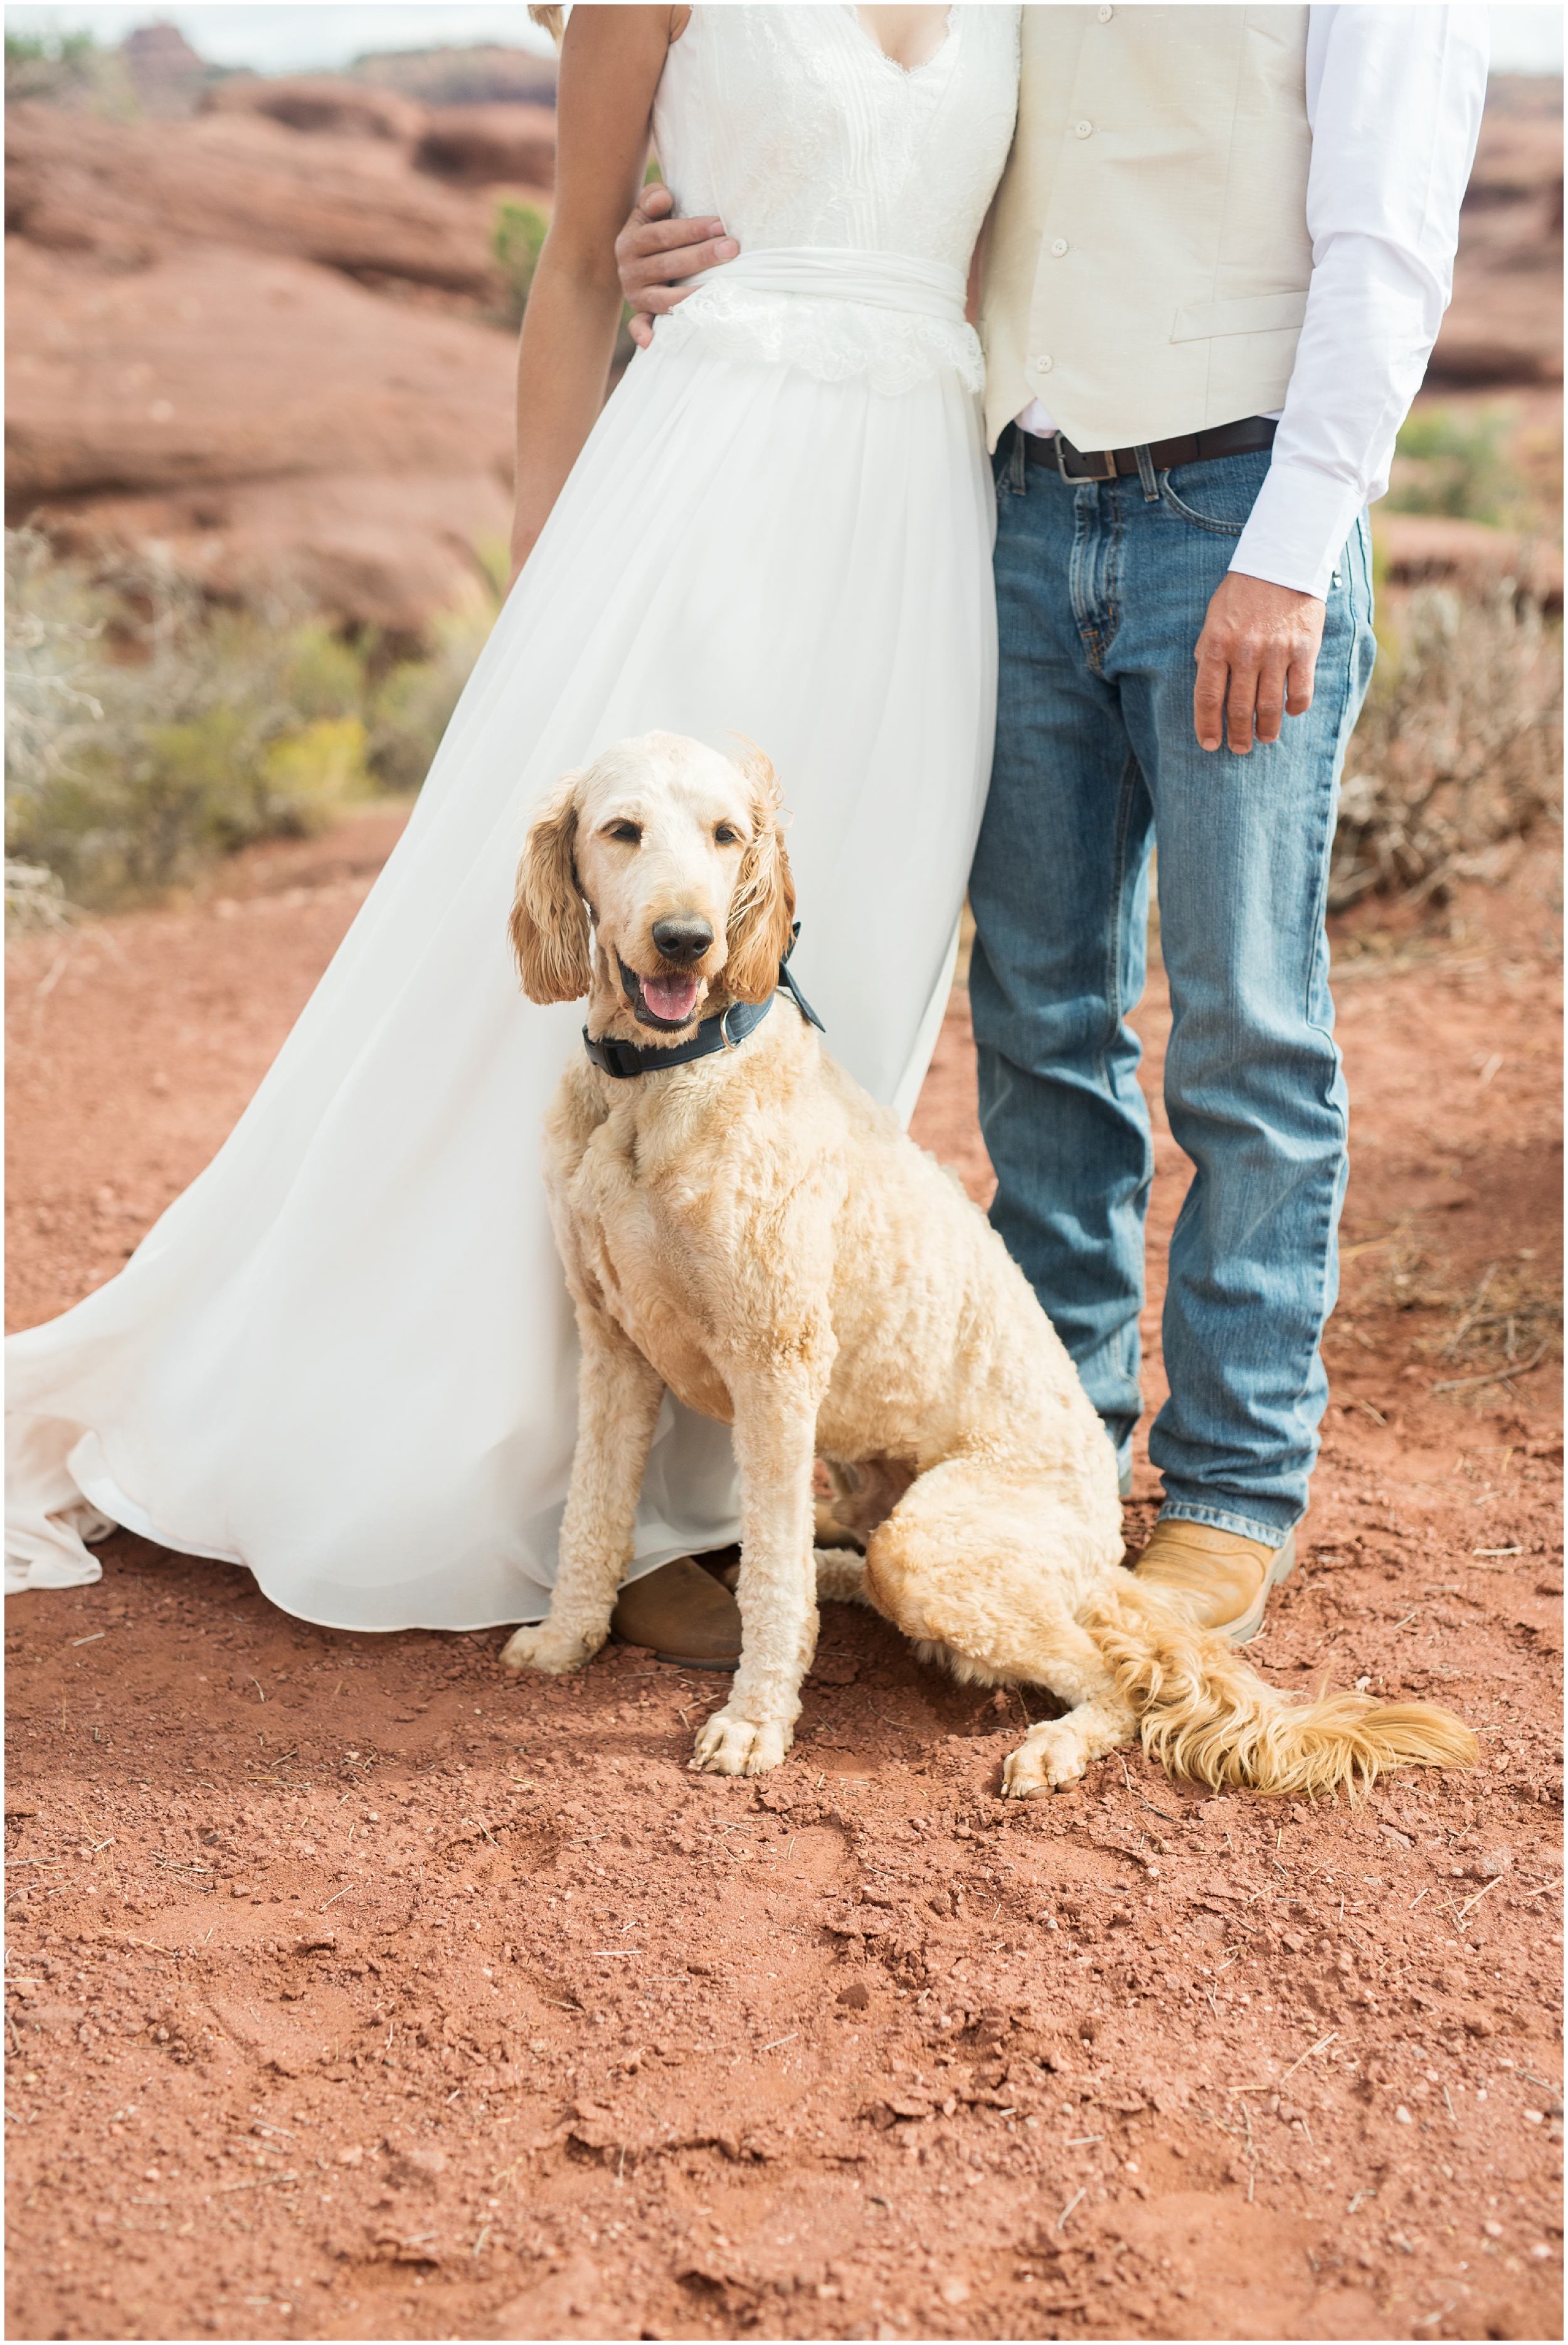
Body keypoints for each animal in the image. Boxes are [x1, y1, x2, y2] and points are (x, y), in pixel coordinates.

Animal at [499, 731, 1471, 1791]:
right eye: (622, 830)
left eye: (725, 835)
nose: (686, 939)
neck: (661, 1081)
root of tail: (1103, 1554)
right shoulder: (613, 1345)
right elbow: (593, 1517)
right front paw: (564, 1640)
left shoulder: (775, 1365)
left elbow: (767, 1579)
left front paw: (755, 1719)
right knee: (852, 1567)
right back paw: (838, 1574)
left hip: (938, 1541)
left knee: (1110, 1681)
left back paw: (1051, 1741)